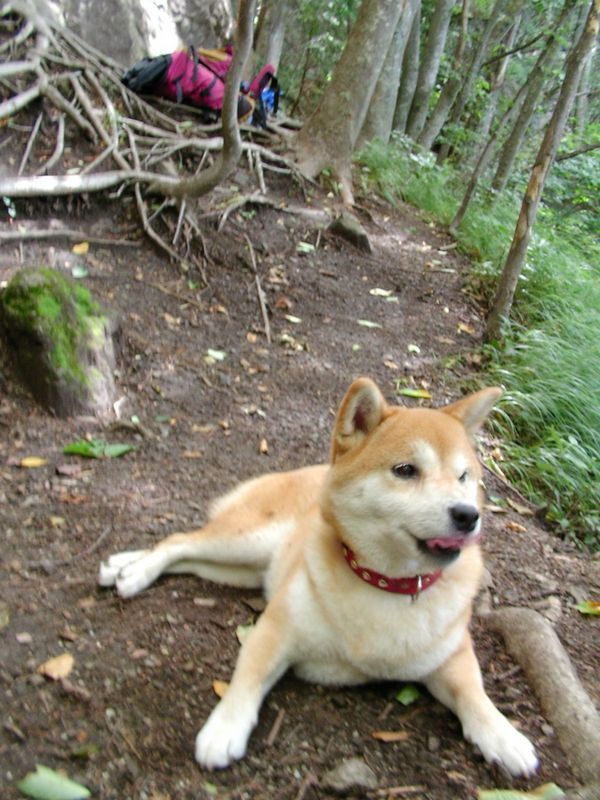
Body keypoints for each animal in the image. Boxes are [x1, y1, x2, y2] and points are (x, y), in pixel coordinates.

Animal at [99, 377, 538, 775]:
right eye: (405, 470)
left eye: (464, 476)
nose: (468, 515)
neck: (386, 585)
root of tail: (302, 469)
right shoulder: (273, 632)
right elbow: (246, 679)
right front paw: (224, 728)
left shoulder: (452, 653)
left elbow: (473, 692)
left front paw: (504, 736)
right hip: (245, 542)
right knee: (178, 541)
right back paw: (135, 573)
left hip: (239, 569)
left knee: (186, 555)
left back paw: (122, 565)